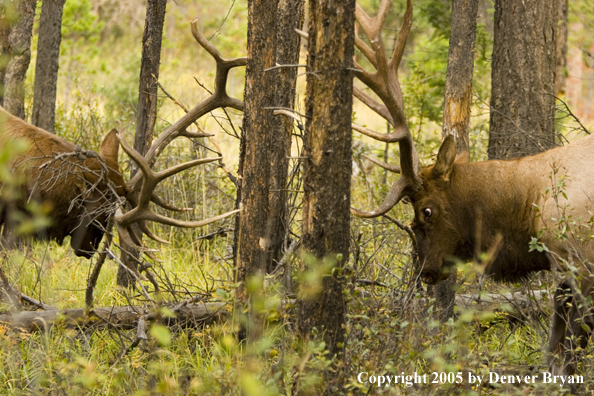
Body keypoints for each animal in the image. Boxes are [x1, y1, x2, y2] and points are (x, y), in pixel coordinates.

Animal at [352, 0, 592, 386]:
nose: (425, 271)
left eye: (427, 210)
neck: (527, 208)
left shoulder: (579, 262)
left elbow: (568, 350)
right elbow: (556, 349)